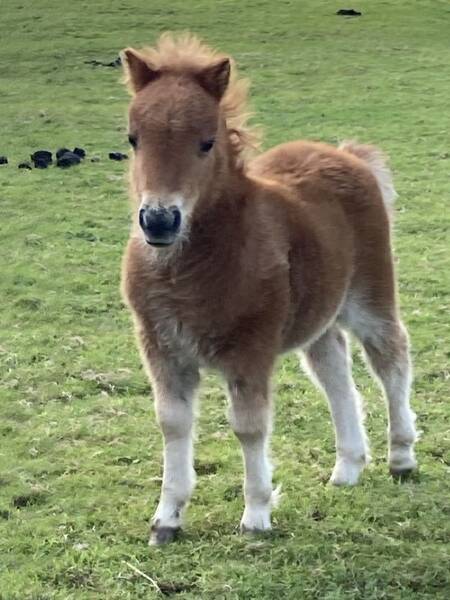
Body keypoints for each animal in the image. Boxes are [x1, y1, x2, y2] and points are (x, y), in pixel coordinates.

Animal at [119, 35, 418, 548]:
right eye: (133, 139)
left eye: (206, 143)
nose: (159, 221)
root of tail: (349, 155)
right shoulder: (162, 348)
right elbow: (172, 423)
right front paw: (166, 519)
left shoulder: (250, 348)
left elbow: (249, 426)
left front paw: (256, 515)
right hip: (318, 317)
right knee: (336, 374)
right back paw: (347, 468)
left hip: (370, 294)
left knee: (390, 358)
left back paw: (401, 458)